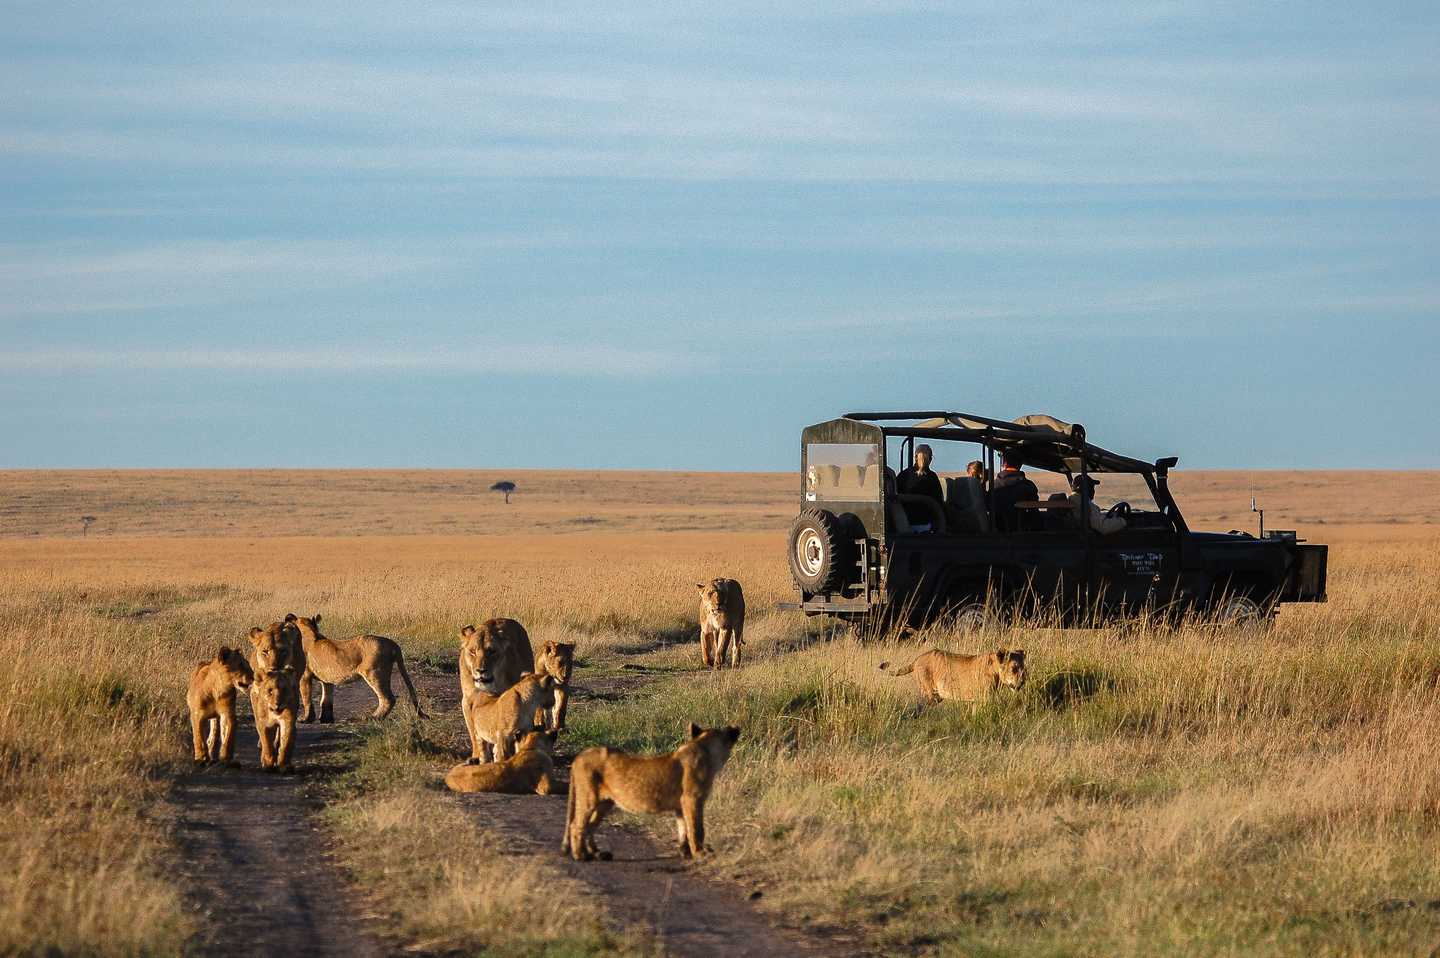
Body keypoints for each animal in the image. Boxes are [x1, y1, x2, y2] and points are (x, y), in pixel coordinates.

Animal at [284, 613, 424, 723]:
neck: (308, 631)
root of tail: (393, 644)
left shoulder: (304, 676)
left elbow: (306, 698)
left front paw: (305, 719)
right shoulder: (327, 680)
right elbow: (326, 700)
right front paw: (326, 719)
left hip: (374, 673)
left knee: (388, 698)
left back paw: (373, 717)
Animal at [563, 722, 741, 862]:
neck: (705, 749)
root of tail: (578, 756)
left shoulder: (680, 805)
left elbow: (683, 827)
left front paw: (685, 853)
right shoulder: (692, 799)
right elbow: (696, 829)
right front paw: (700, 853)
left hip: (605, 802)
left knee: (590, 825)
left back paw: (597, 853)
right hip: (589, 797)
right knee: (577, 824)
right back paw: (580, 856)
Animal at [878, 648, 1027, 704]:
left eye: (1023, 669)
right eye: (1013, 669)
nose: (1021, 683)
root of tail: (917, 659)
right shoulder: (985, 696)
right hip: (929, 694)